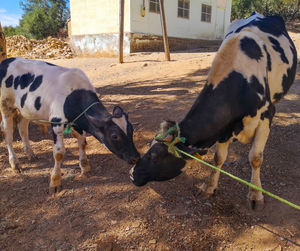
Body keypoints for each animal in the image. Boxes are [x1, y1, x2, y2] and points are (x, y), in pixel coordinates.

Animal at [0, 57, 141, 192]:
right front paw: (55, 181)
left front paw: (85, 167)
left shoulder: (78, 122)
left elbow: (82, 142)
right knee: (7, 133)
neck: (74, 94)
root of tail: (7, 60)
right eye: (114, 136)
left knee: (23, 128)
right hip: (5, 105)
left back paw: (30, 154)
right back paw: (15, 164)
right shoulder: (56, 121)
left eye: (132, 130)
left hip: (25, 110)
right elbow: (59, 153)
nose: (136, 158)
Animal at [129, 13, 298, 210]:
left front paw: (256, 194)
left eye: (156, 156)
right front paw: (209, 187)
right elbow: (218, 158)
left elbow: (256, 157)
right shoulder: (224, 128)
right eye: (149, 146)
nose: (132, 173)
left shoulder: (266, 116)